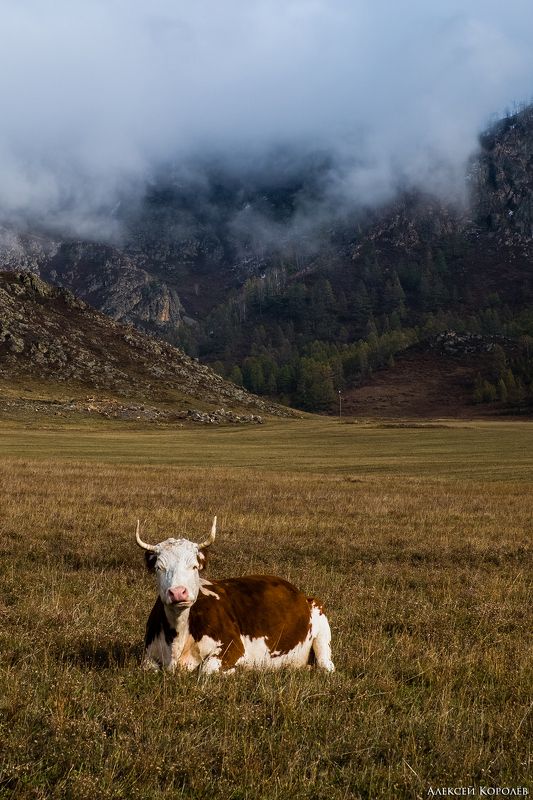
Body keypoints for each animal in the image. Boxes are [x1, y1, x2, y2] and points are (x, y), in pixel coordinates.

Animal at [135, 517, 335, 674]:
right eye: (159, 567)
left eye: (194, 566)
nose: (178, 592)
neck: (178, 637)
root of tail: (300, 594)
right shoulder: (147, 656)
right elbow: (148, 668)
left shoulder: (233, 647)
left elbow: (207, 670)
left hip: (321, 627)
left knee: (326, 665)